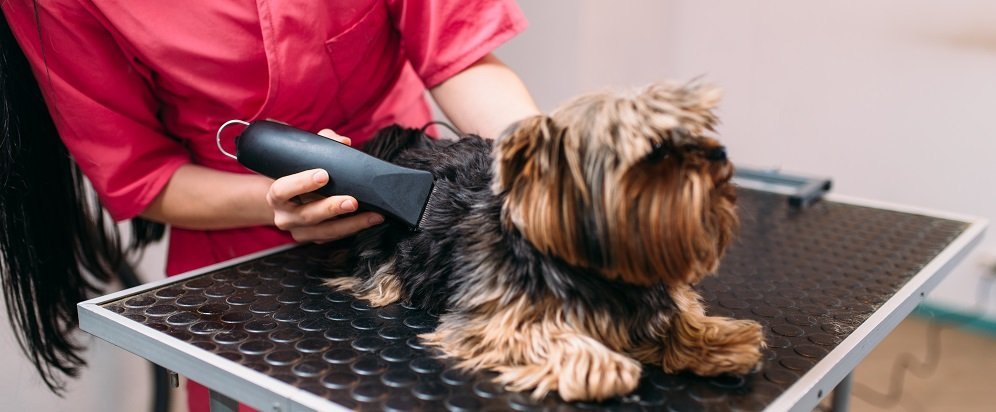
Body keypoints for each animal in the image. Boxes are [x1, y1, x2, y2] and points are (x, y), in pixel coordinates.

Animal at [324, 82, 764, 400]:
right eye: (656, 148)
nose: (719, 154)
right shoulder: (495, 321)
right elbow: (541, 338)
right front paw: (606, 366)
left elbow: (678, 314)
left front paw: (717, 339)